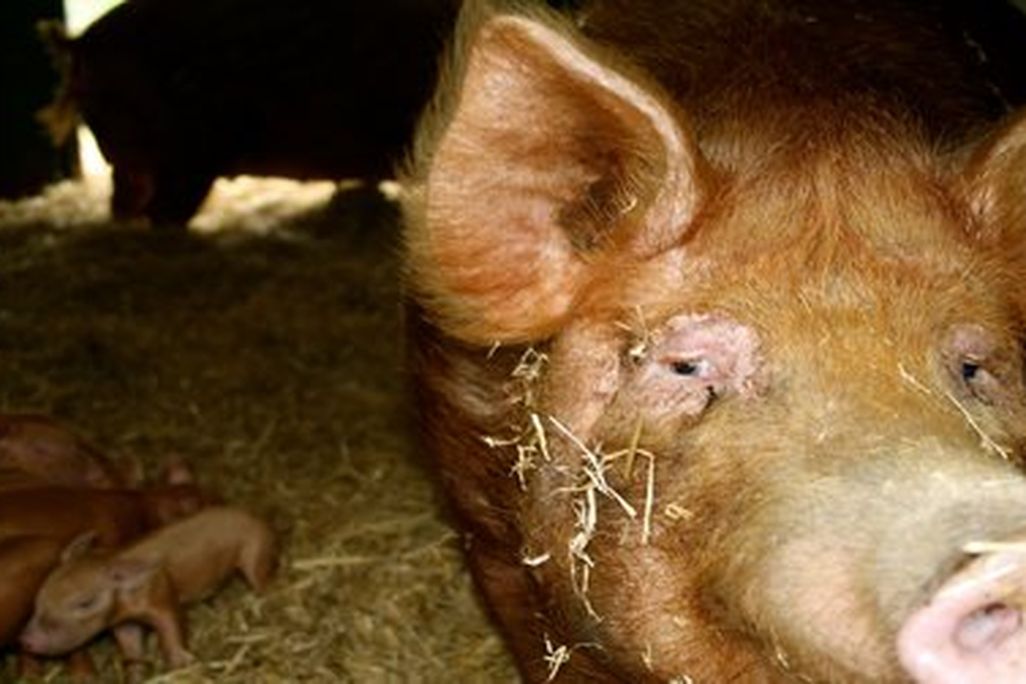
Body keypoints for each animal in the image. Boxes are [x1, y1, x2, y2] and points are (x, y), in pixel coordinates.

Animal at [20, 507, 277, 671]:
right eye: (40, 597)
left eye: (85, 602)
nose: (25, 640)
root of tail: (258, 518)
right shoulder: (124, 622)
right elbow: (130, 646)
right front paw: (135, 672)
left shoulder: (162, 596)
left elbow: (171, 627)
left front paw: (182, 664)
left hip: (255, 553)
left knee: (262, 580)